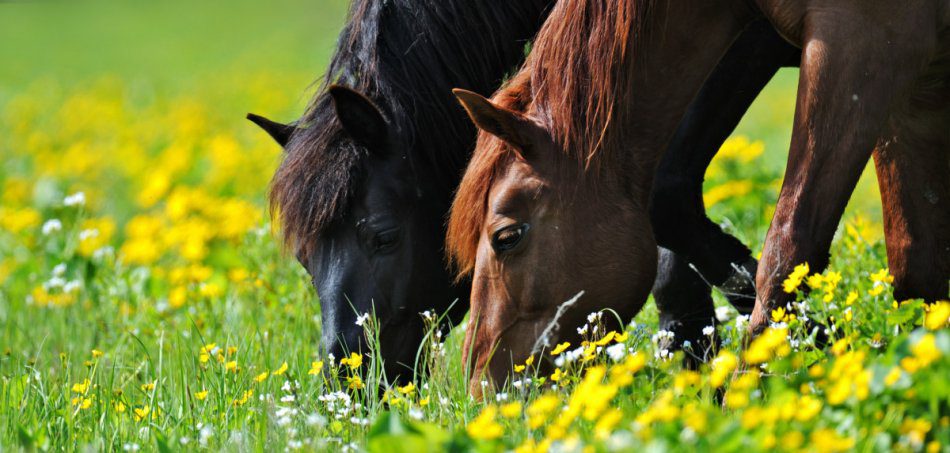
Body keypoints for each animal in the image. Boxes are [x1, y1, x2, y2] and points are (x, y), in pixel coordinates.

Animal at [452, 0, 950, 392]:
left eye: (507, 237)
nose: (482, 388)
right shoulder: (913, 81)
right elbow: (918, 266)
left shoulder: (864, 46)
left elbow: (787, 251)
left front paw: (753, 399)